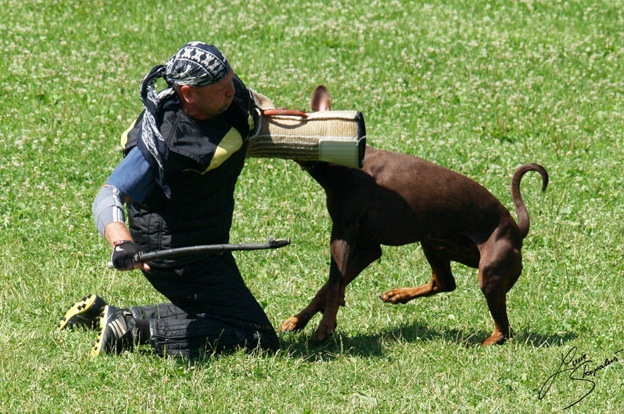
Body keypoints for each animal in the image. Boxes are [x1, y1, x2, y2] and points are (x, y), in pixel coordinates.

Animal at [280, 86, 548, 346]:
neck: (341, 166)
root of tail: (516, 228)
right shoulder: (367, 247)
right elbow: (327, 288)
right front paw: (297, 320)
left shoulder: (345, 235)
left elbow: (334, 285)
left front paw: (324, 328)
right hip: (435, 243)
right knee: (444, 283)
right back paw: (398, 294)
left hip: (490, 271)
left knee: (504, 327)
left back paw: (490, 340)